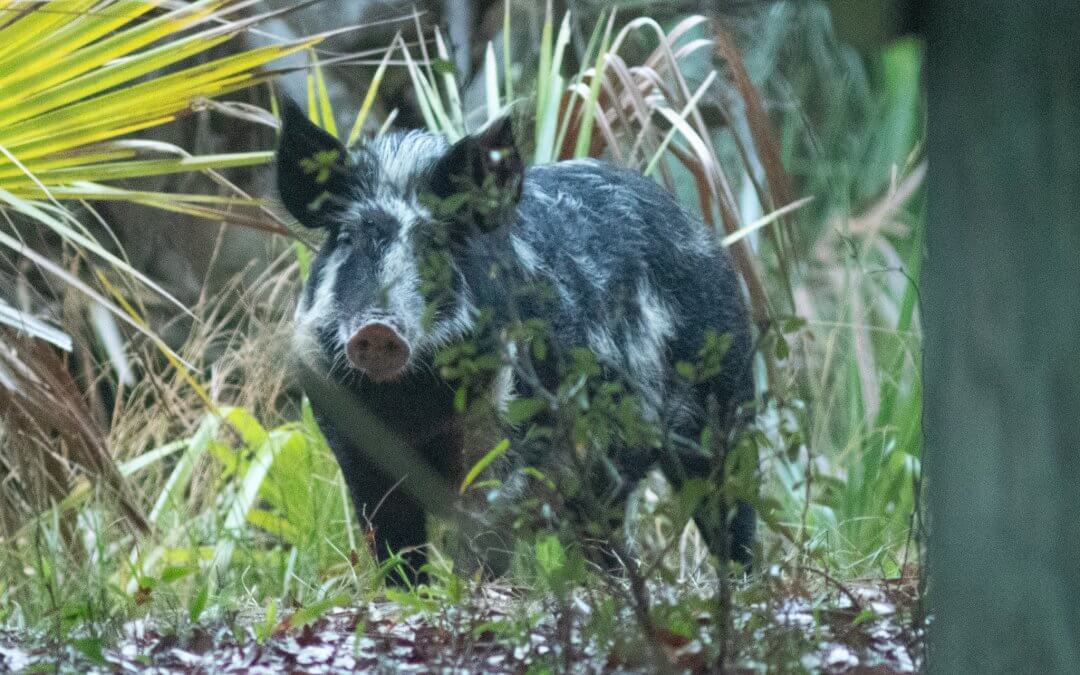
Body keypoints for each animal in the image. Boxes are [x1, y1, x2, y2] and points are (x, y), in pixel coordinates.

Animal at [276, 97, 756, 581]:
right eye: (347, 237)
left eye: (434, 241)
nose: (377, 329)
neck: (412, 401)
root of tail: (699, 230)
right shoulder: (350, 436)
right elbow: (393, 541)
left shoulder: (521, 425)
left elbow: (485, 526)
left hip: (724, 401)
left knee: (730, 509)